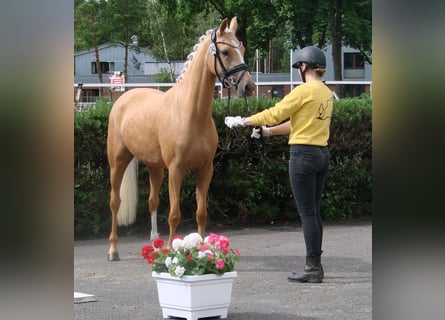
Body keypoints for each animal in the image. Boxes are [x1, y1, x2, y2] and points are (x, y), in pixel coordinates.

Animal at [105, 16, 255, 260]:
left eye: (241, 49)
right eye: (224, 52)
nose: (248, 86)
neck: (190, 113)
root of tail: (123, 98)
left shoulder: (205, 170)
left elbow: (201, 212)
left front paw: (204, 250)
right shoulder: (176, 171)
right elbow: (174, 214)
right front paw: (172, 253)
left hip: (155, 167)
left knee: (152, 201)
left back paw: (155, 243)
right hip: (118, 162)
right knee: (114, 202)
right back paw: (113, 250)